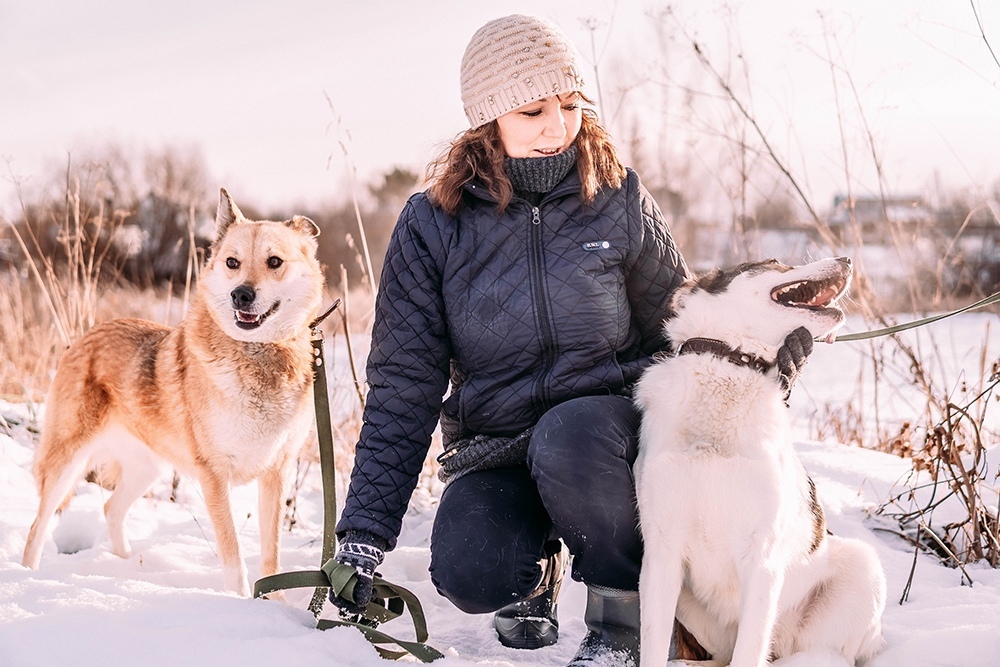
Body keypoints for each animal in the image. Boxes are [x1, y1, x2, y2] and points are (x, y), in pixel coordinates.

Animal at [21, 189, 322, 596]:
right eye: (232, 262)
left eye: (274, 262)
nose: (241, 295)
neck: (255, 358)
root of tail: (87, 336)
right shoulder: (215, 476)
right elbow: (233, 556)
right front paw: (240, 601)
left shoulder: (277, 473)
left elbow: (271, 558)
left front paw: (274, 605)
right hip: (67, 463)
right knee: (38, 527)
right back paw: (29, 577)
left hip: (147, 468)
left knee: (111, 510)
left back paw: (130, 569)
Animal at [636, 258, 888, 667]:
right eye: (774, 263)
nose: (848, 260)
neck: (730, 365)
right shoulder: (662, 554)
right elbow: (653, 647)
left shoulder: (762, 560)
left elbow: (749, 650)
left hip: (861, 567)